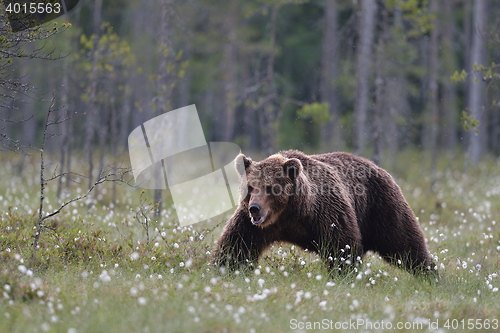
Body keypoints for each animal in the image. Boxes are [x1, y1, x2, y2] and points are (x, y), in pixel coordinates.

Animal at [214, 149, 434, 274]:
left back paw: (430, 274)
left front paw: (342, 274)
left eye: (270, 187)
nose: (255, 208)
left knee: (404, 243)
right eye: (251, 187)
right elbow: (236, 245)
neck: (290, 214)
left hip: (380, 207)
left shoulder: (327, 212)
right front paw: (224, 269)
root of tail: (377, 166)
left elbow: (341, 246)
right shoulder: (252, 224)